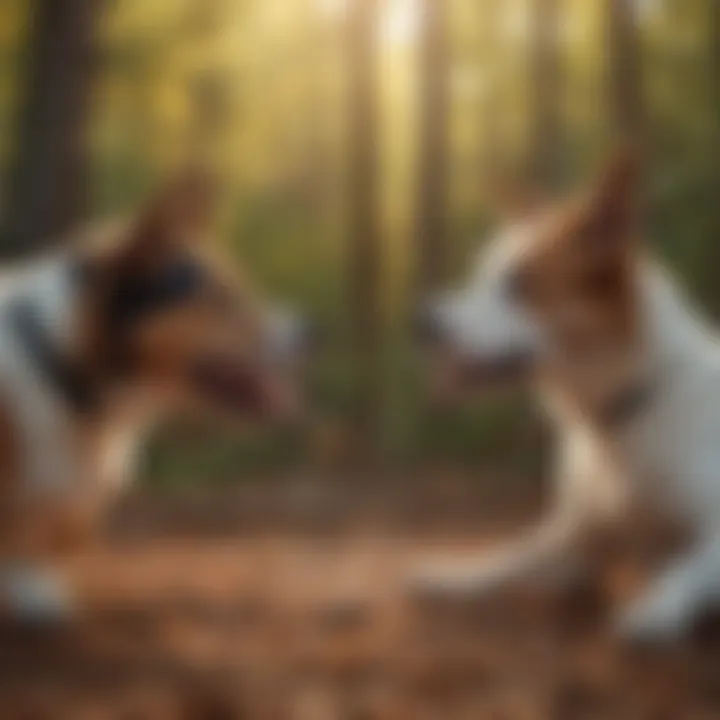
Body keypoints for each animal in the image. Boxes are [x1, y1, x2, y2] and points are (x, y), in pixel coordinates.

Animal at [414, 150, 720, 640]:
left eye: (519, 284)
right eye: (476, 276)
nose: (421, 322)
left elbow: (690, 565)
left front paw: (657, 608)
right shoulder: (576, 543)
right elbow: (511, 558)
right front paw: (455, 578)